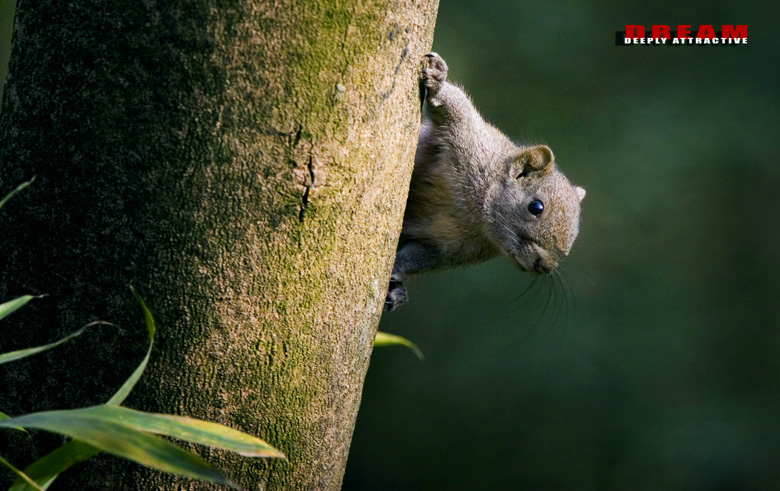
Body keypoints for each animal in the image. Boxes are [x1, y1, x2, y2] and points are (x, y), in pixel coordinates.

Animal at [384, 52, 584, 312]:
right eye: (536, 207)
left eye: (577, 228)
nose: (545, 266)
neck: (477, 219)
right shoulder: (471, 141)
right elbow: (454, 109)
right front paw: (438, 80)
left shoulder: (448, 249)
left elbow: (418, 256)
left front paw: (398, 273)